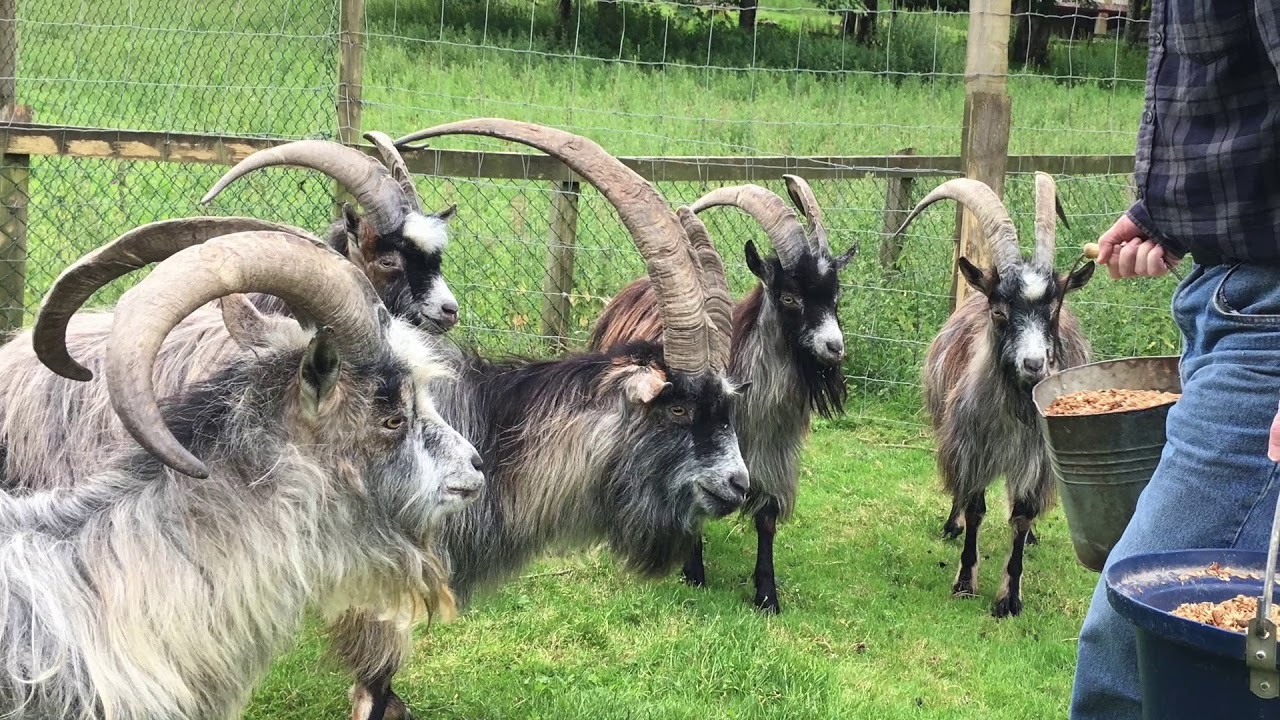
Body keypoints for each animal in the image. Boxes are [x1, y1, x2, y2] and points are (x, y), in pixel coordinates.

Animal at [587, 177, 855, 614]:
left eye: (835, 295)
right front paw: (693, 574)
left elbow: (766, 518)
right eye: (789, 296)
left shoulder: (773, 456)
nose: (835, 347)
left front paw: (767, 594)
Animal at [900, 173, 1094, 618]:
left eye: (1054, 309)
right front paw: (964, 582)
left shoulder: (1036, 459)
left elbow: (1021, 517)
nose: (1035, 363)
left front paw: (1010, 597)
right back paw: (950, 525)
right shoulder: (971, 446)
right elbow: (975, 508)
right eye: (1000, 310)